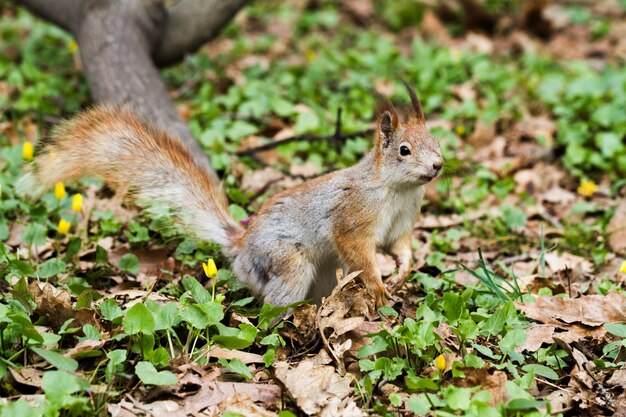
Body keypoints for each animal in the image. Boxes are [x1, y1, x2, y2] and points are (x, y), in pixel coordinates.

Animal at [17, 83, 442, 308]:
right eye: (404, 150)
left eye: (437, 141)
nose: (438, 165)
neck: (396, 190)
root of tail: (241, 246)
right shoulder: (353, 218)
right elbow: (360, 252)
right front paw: (379, 288)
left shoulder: (401, 224)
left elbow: (400, 246)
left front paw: (403, 270)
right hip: (287, 264)